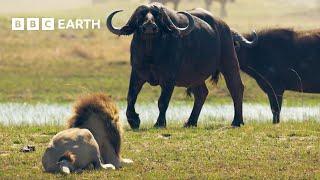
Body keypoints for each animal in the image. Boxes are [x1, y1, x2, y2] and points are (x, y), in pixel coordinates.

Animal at [107, 3, 255, 128]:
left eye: (157, 16)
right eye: (141, 15)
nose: (149, 26)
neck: (151, 55)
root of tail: (225, 28)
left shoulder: (168, 79)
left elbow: (163, 101)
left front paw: (159, 123)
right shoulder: (137, 74)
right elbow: (131, 97)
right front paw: (134, 121)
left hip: (229, 62)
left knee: (236, 88)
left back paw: (237, 121)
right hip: (195, 76)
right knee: (201, 93)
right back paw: (190, 122)